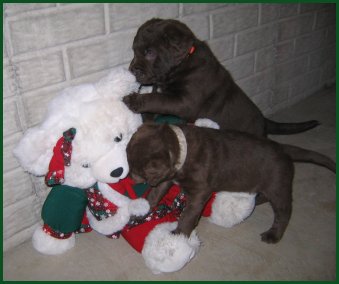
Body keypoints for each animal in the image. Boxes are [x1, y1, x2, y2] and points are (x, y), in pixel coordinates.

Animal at [14, 66, 256, 272]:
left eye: (119, 137)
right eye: (85, 165)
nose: (117, 172)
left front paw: (206, 124)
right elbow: (63, 206)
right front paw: (51, 239)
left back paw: (235, 202)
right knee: (156, 232)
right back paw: (174, 246)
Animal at [127, 123, 338, 243]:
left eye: (137, 171)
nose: (129, 176)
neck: (182, 147)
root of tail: (284, 149)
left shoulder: (200, 191)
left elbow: (188, 215)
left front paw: (178, 234)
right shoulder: (167, 178)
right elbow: (155, 194)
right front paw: (142, 210)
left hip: (278, 185)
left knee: (284, 212)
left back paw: (273, 235)